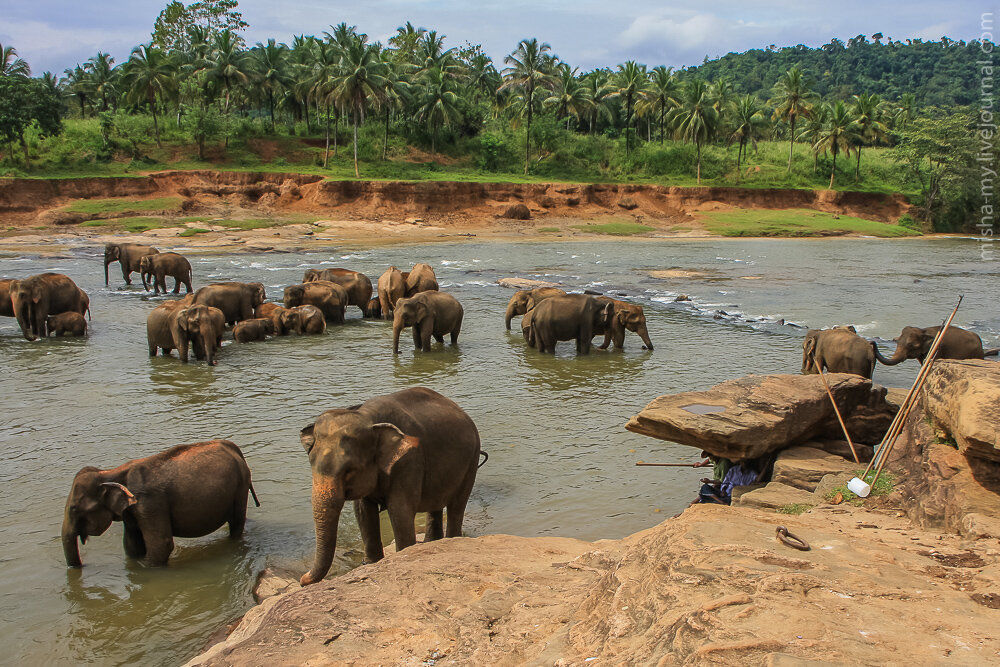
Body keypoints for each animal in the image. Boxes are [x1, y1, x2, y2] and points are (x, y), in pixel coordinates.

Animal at [61, 438, 258, 568]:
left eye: (74, 509)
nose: (81, 566)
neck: (110, 472)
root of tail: (233, 447)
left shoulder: (150, 503)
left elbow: (161, 544)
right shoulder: (132, 511)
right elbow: (132, 545)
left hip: (240, 487)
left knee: (236, 523)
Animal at [296, 388, 480, 588]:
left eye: (349, 470)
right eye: (311, 462)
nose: (303, 579)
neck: (367, 417)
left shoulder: (410, 460)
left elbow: (399, 510)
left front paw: (403, 555)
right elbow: (363, 512)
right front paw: (371, 563)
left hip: (472, 461)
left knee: (457, 505)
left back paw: (451, 539)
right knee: (436, 505)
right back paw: (431, 542)